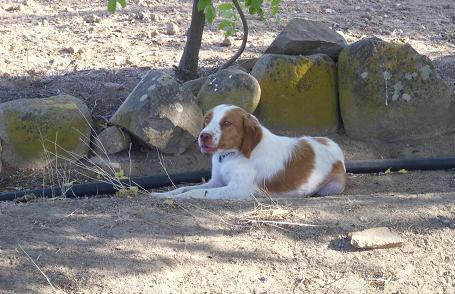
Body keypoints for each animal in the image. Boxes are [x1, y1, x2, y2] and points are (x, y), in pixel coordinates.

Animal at [151, 104, 348, 200]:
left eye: (227, 123)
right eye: (206, 120)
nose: (203, 136)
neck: (229, 156)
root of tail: (334, 145)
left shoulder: (238, 189)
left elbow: (196, 193)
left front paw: (180, 197)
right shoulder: (216, 182)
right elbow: (184, 187)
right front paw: (162, 194)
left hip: (332, 187)